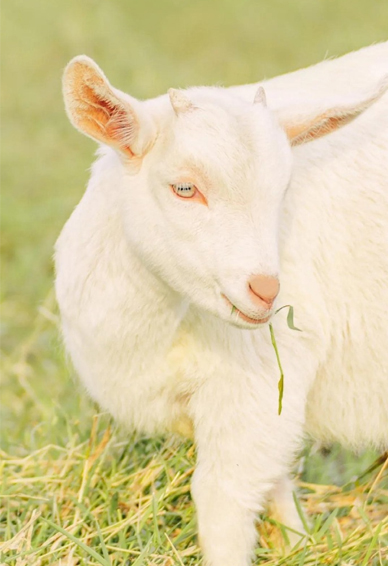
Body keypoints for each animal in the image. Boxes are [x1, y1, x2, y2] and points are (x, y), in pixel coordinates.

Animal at [56, 44, 388, 566]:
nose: (267, 290)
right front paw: (297, 542)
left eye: (283, 191)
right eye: (184, 188)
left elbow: (222, 501)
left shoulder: (256, 386)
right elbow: (275, 482)